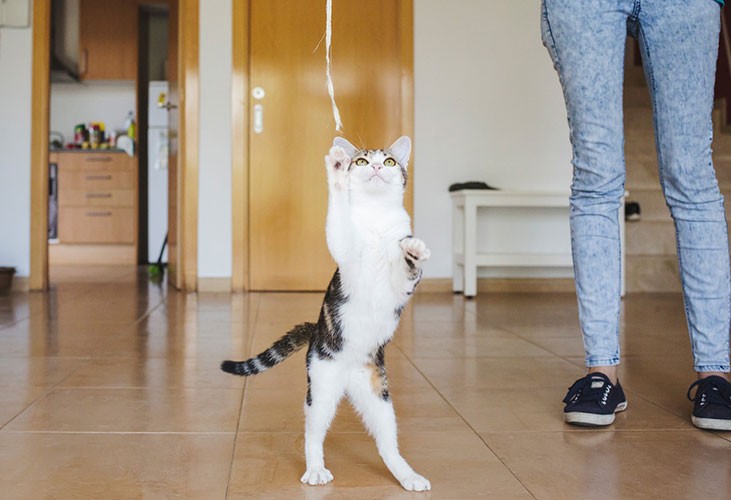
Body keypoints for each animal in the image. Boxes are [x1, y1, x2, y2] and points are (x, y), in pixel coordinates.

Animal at [221, 136, 431, 492]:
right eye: (360, 161)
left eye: (389, 161)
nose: (377, 166)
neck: (375, 218)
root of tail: (317, 330)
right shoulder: (345, 251)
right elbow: (339, 223)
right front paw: (335, 169)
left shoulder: (399, 286)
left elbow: (406, 270)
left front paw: (413, 251)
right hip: (319, 387)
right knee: (313, 433)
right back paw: (316, 469)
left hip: (379, 397)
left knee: (387, 444)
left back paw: (407, 475)